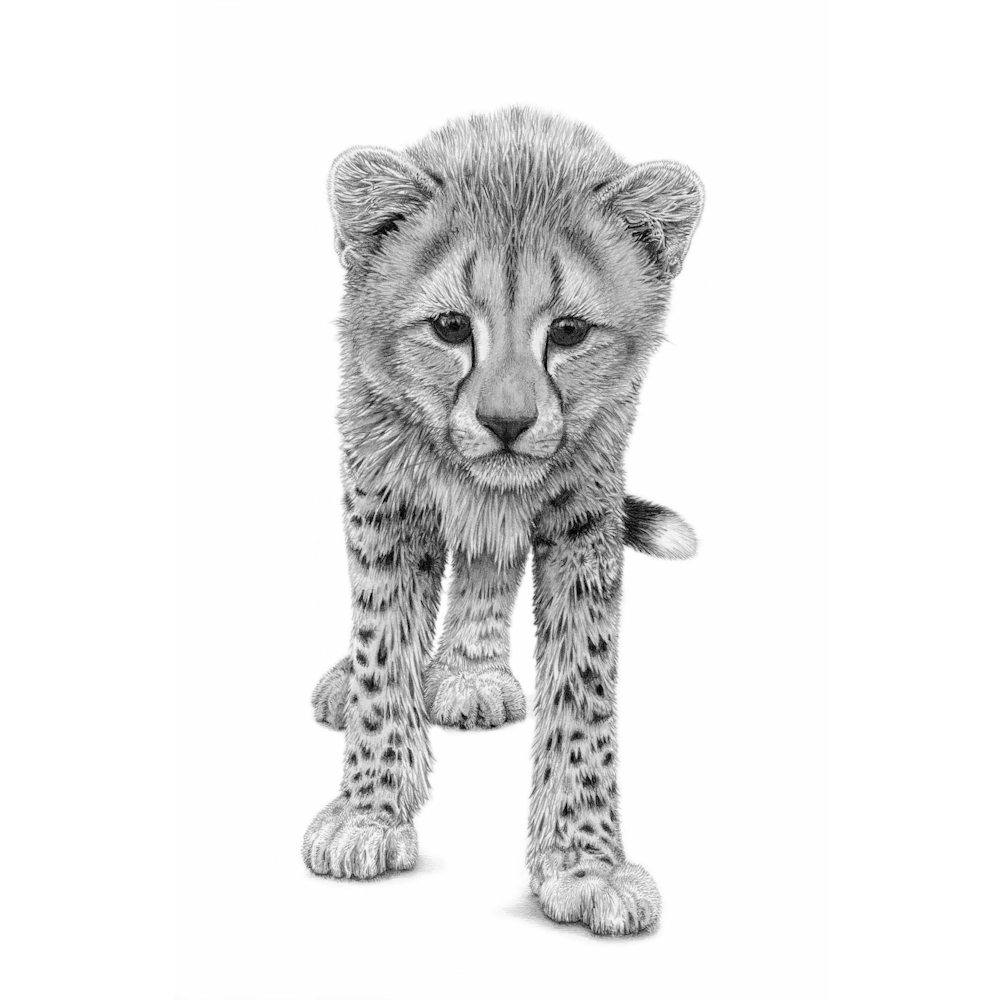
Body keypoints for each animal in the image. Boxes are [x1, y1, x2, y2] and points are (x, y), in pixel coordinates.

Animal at [302, 107, 704, 936]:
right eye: (451, 327)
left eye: (571, 333)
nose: (508, 424)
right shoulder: (383, 492)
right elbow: (383, 643)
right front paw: (369, 811)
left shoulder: (585, 513)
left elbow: (584, 689)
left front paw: (586, 864)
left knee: (490, 557)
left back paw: (470, 670)